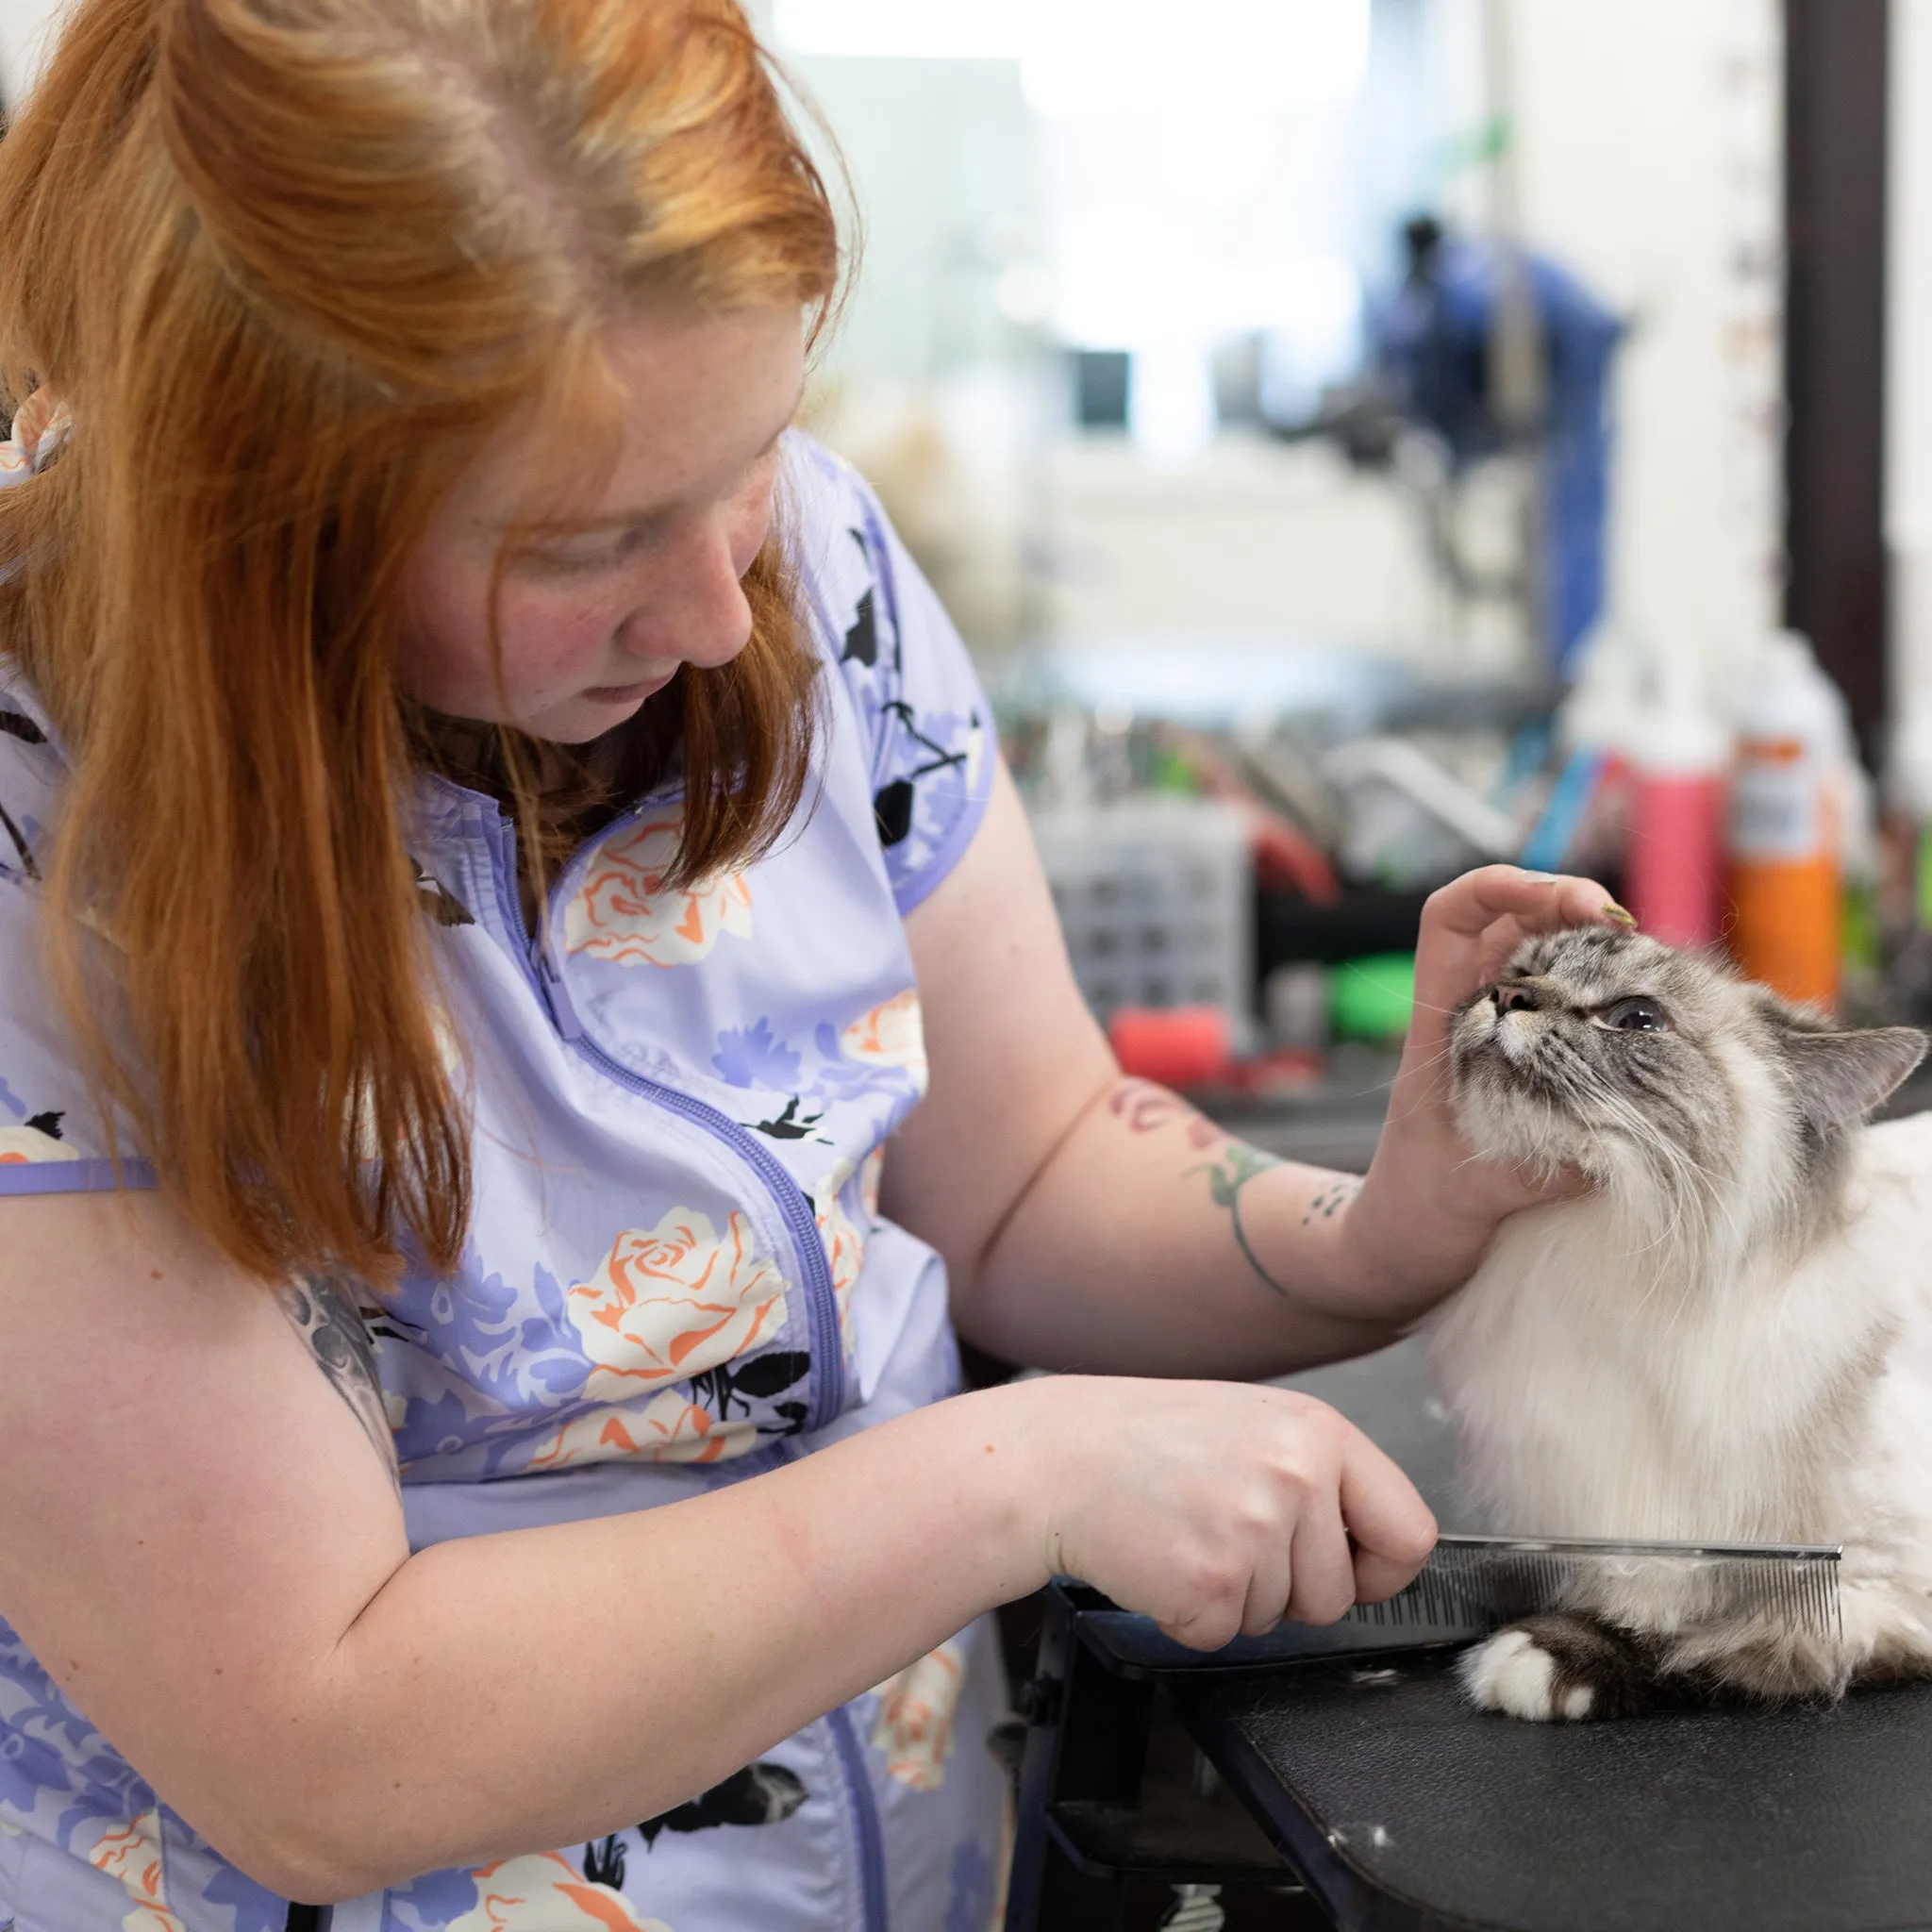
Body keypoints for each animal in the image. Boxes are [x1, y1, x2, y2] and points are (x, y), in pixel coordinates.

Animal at [1429, 923, 1932, 1723]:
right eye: (1522, 969)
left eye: (1637, 1018)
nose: (1506, 995)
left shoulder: (1875, 1588)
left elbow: (1713, 1639)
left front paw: (1540, 1658)